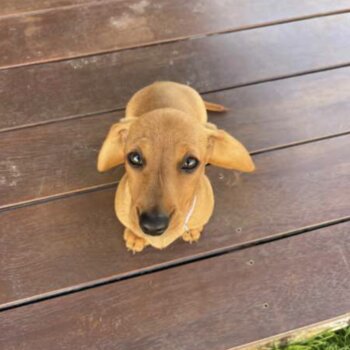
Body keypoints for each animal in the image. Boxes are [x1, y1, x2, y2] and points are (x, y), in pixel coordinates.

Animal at [98, 81, 254, 252]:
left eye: (190, 162)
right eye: (135, 158)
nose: (152, 227)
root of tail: (166, 82)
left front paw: (192, 230)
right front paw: (135, 236)